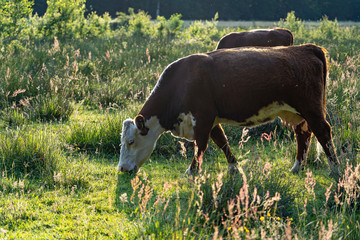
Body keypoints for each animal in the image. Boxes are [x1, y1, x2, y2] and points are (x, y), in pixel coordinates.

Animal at [119, 44, 342, 181]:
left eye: (131, 141)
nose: (120, 168)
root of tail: (307, 48)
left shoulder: (202, 118)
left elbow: (200, 146)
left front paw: (191, 172)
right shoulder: (211, 120)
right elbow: (222, 142)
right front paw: (234, 167)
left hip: (311, 109)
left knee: (323, 132)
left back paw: (336, 169)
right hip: (298, 114)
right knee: (303, 134)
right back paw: (297, 167)